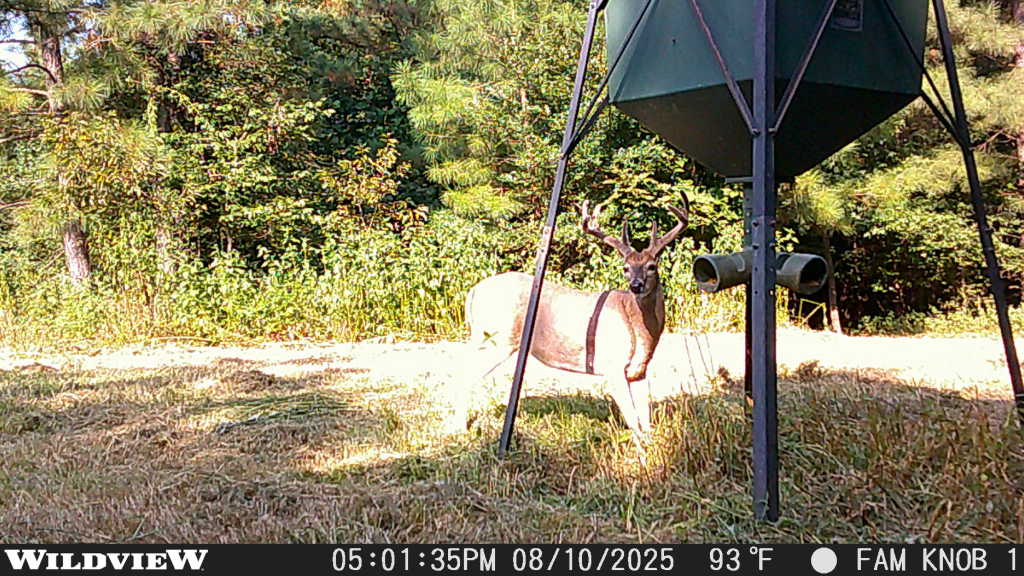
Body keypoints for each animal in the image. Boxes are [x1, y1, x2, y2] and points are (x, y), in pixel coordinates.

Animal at [459, 197, 689, 443]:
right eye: (626, 268)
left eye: (652, 266)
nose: (636, 285)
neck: (639, 329)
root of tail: (473, 291)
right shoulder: (612, 367)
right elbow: (634, 423)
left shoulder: (639, 372)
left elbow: (646, 424)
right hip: (497, 339)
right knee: (463, 374)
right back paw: (459, 429)